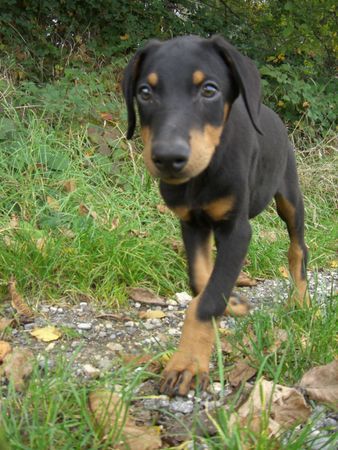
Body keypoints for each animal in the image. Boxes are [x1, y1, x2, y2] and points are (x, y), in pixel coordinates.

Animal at [122, 35, 308, 396]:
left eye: (209, 90)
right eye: (145, 92)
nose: (168, 158)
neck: (202, 177)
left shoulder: (236, 230)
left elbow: (208, 299)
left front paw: (187, 364)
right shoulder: (191, 223)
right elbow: (202, 281)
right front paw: (231, 302)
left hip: (289, 195)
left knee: (298, 247)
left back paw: (302, 302)